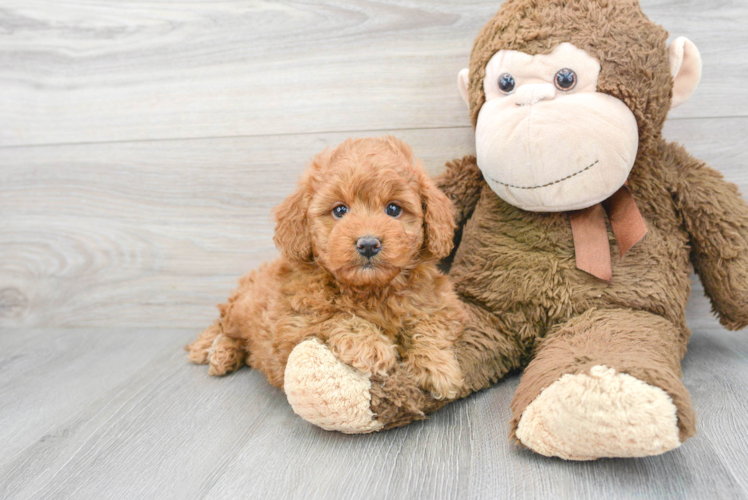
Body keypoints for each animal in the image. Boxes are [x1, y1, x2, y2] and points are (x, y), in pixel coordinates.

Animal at [186, 136, 464, 398]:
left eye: (394, 208)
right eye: (339, 210)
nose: (368, 244)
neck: (370, 289)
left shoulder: (442, 303)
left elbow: (428, 324)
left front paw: (437, 367)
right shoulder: (290, 323)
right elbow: (333, 316)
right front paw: (372, 346)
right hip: (242, 308)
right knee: (224, 325)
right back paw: (214, 350)